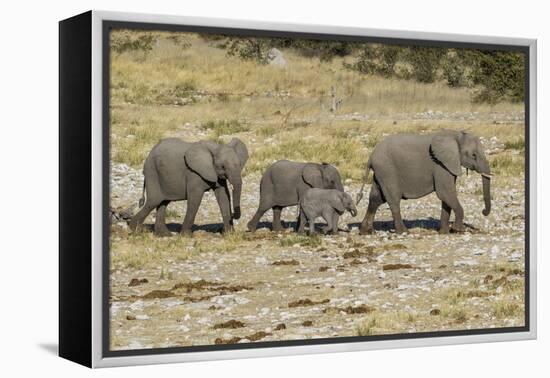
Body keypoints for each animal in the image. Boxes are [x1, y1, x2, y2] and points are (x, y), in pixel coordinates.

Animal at [360, 131, 494, 235]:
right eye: (473, 155)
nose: (483, 211)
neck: (455, 135)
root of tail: (371, 156)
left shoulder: (448, 165)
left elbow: (447, 197)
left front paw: (444, 233)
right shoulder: (440, 165)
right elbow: (445, 193)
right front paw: (458, 230)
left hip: (381, 173)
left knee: (375, 199)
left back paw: (366, 231)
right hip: (387, 171)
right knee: (393, 200)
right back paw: (404, 232)